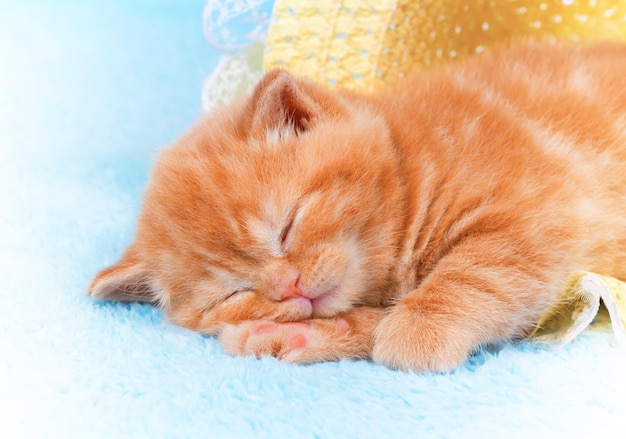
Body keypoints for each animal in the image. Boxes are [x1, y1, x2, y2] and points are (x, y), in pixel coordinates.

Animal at [88, 41, 624, 372]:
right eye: (232, 294)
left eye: (287, 227)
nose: (290, 287)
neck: (411, 163)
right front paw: (304, 333)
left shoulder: (540, 205)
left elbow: (479, 269)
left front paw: (421, 326)